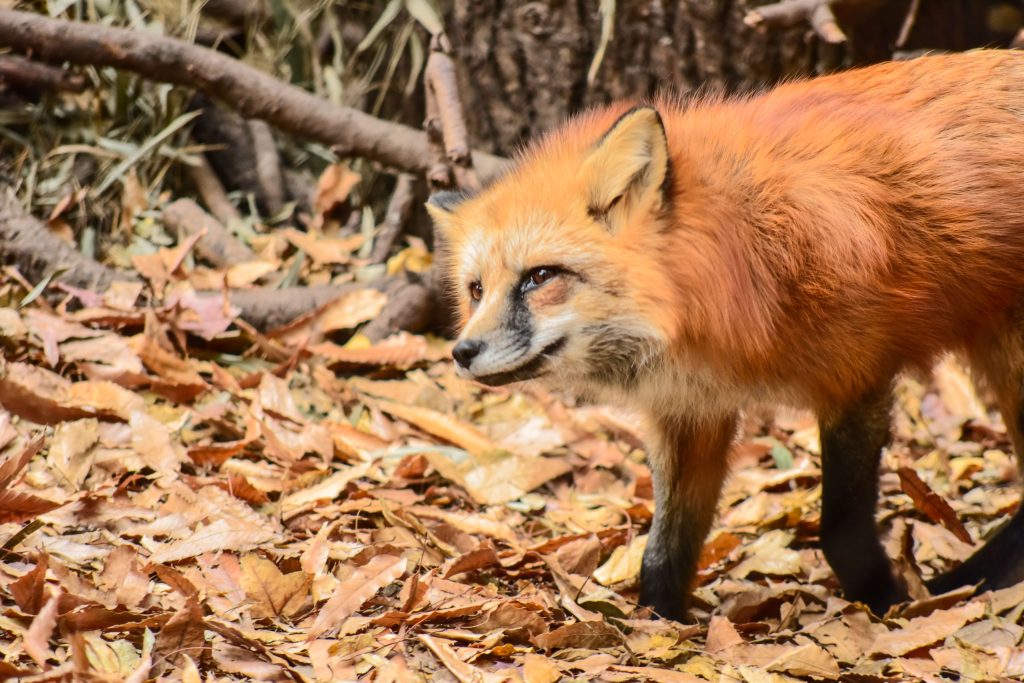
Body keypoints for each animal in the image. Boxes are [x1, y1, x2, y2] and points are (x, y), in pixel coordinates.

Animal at [426, 50, 1024, 622]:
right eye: (476, 289)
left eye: (540, 277)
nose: (462, 352)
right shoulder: (692, 410)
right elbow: (665, 548)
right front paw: (659, 624)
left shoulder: (856, 380)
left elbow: (839, 529)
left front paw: (886, 602)